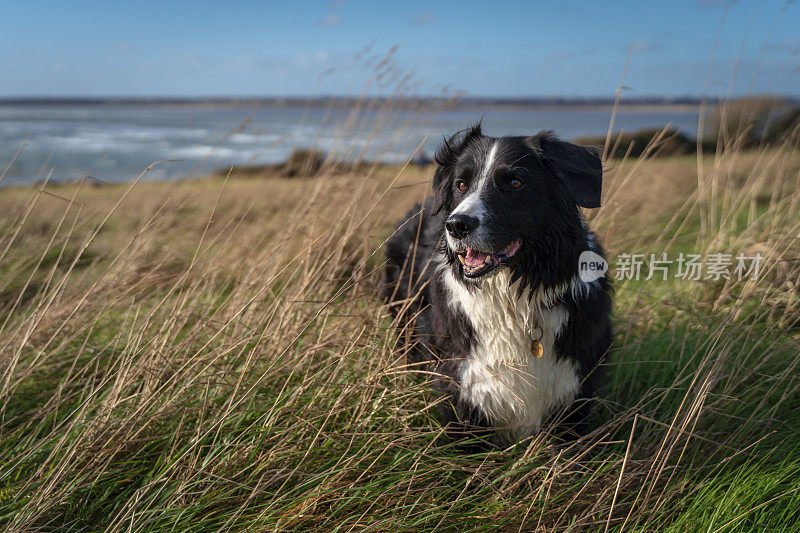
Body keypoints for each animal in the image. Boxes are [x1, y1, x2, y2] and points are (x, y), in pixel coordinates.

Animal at [382, 124, 612, 444]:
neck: (512, 300)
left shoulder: (573, 392)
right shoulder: (462, 389)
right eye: (461, 185)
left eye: (515, 182)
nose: (456, 225)